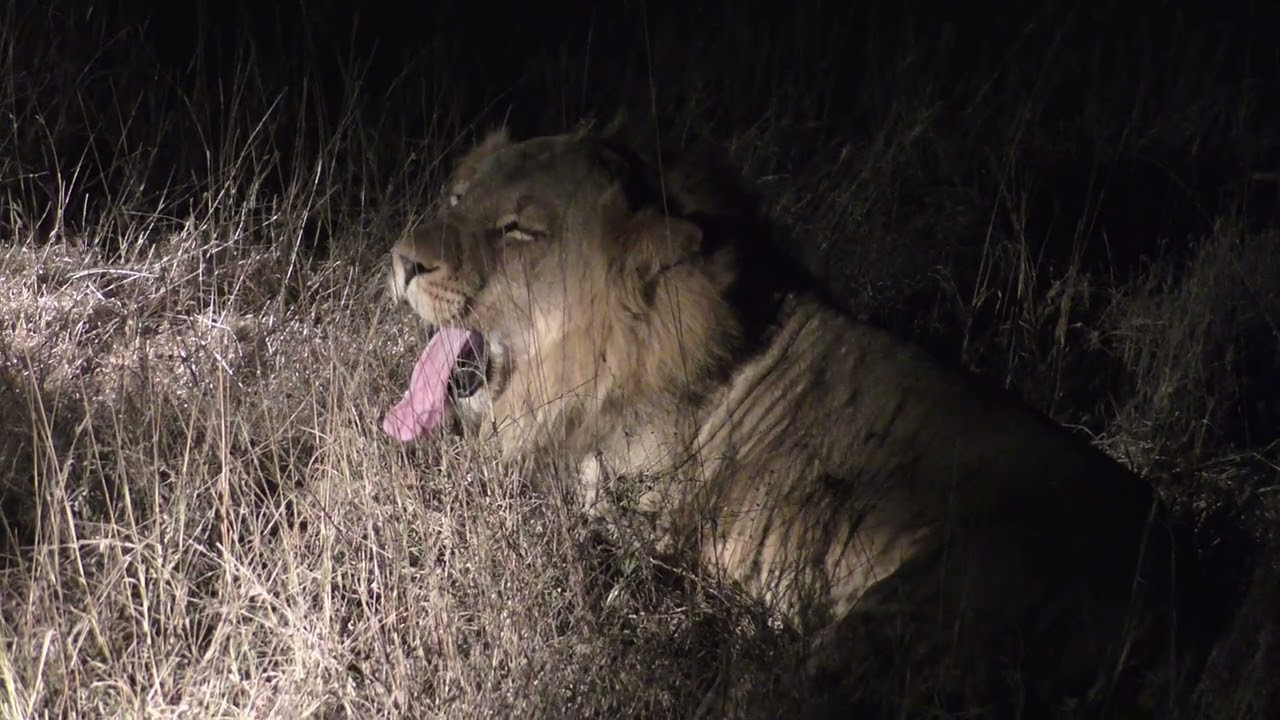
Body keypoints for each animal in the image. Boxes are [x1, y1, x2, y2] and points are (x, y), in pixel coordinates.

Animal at [382, 127, 1205, 716]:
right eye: (455, 196)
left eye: (519, 231)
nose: (402, 259)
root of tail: (1181, 580)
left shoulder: (614, 522)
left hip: (892, 623)